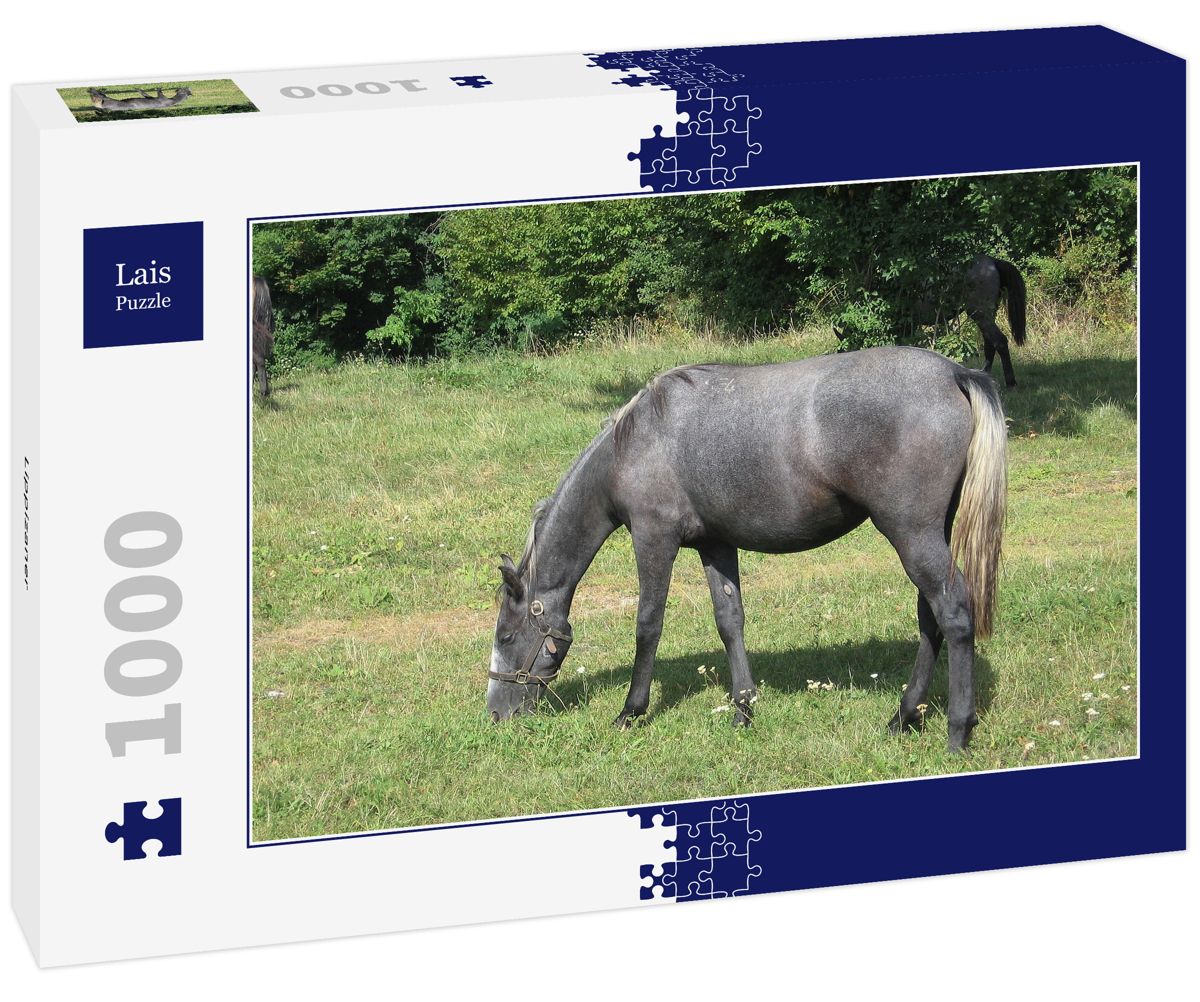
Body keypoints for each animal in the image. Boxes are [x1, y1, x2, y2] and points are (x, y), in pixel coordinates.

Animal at [487, 346, 1007, 752]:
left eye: (507, 638)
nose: (495, 713)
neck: (636, 443)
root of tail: (955, 374)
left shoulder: (654, 540)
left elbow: (647, 626)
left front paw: (631, 711)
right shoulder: (715, 544)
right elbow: (729, 622)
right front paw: (743, 709)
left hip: (912, 534)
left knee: (953, 614)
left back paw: (957, 730)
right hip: (928, 534)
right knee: (930, 621)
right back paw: (903, 717)